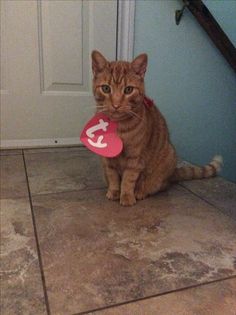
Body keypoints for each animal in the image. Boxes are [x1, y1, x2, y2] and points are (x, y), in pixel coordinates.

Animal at [91, 50, 222, 206]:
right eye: (106, 88)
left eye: (128, 90)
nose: (116, 105)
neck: (118, 128)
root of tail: (173, 173)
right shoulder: (107, 159)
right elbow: (113, 177)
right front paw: (114, 191)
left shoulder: (135, 158)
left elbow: (128, 179)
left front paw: (127, 196)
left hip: (166, 161)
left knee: (162, 185)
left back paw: (141, 191)